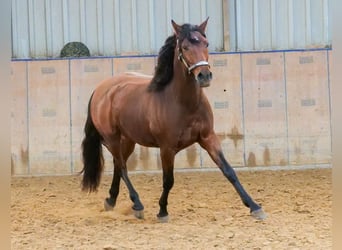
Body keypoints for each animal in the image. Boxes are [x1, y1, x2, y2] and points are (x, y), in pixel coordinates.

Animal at [81, 18, 268, 222]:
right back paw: (137, 204)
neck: (183, 103)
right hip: (113, 138)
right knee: (122, 167)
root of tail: (101, 89)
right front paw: (162, 211)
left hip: (128, 140)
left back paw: (111, 201)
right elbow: (168, 180)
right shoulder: (167, 148)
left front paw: (255, 207)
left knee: (117, 165)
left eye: (206, 44)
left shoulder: (208, 138)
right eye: (185, 47)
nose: (204, 76)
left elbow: (229, 171)